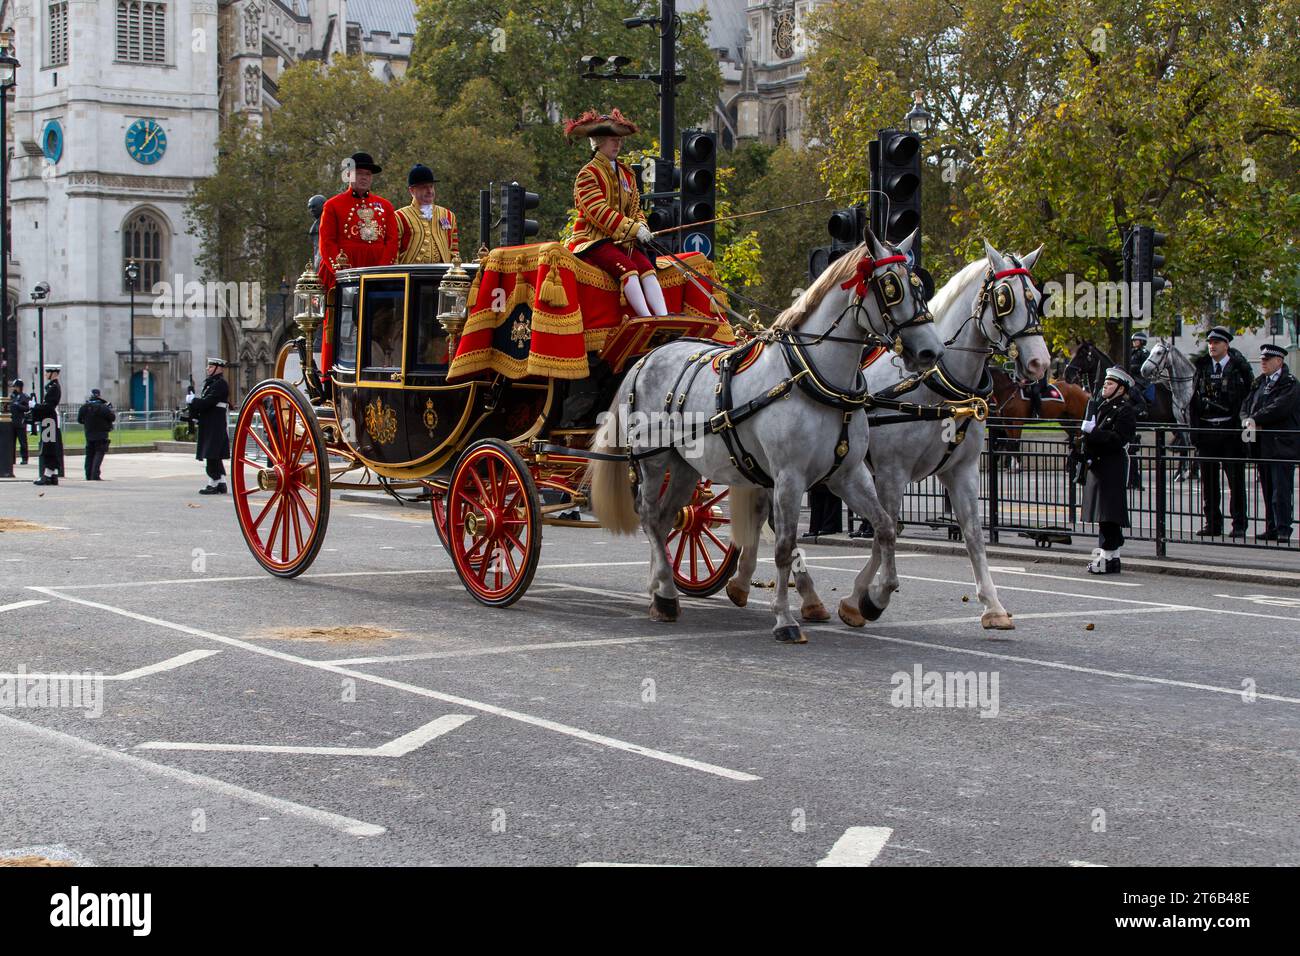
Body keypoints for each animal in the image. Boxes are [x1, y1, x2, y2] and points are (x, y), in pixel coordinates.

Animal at [590, 232, 946, 647]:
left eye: (920, 286)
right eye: (891, 287)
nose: (931, 351)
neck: (811, 377)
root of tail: (646, 358)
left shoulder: (848, 474)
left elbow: (886, 527)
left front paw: (873, 599)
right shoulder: (789, 477)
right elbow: (784, 546)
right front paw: (784, 618)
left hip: (684, 467)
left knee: (664, 521)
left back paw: (661, 591)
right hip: (653, 460)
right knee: (648, 517)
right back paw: (663, 594)